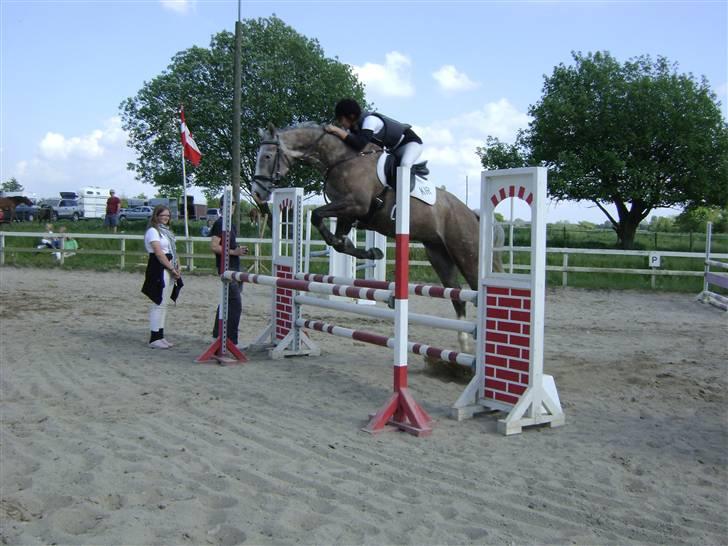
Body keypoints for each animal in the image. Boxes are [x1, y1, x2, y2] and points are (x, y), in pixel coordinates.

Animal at [253, 122, 504, 352]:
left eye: (267, 156)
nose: (257, 192)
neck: (341, 159)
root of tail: (471, 213)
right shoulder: (348, 213)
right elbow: (336, 241)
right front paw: (368, 251)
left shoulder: (355, 205)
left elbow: (316, 216)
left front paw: (363, 249)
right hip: (438, 255)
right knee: (457, 296)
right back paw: (463, 344)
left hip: (466, 253)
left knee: (473, 289)